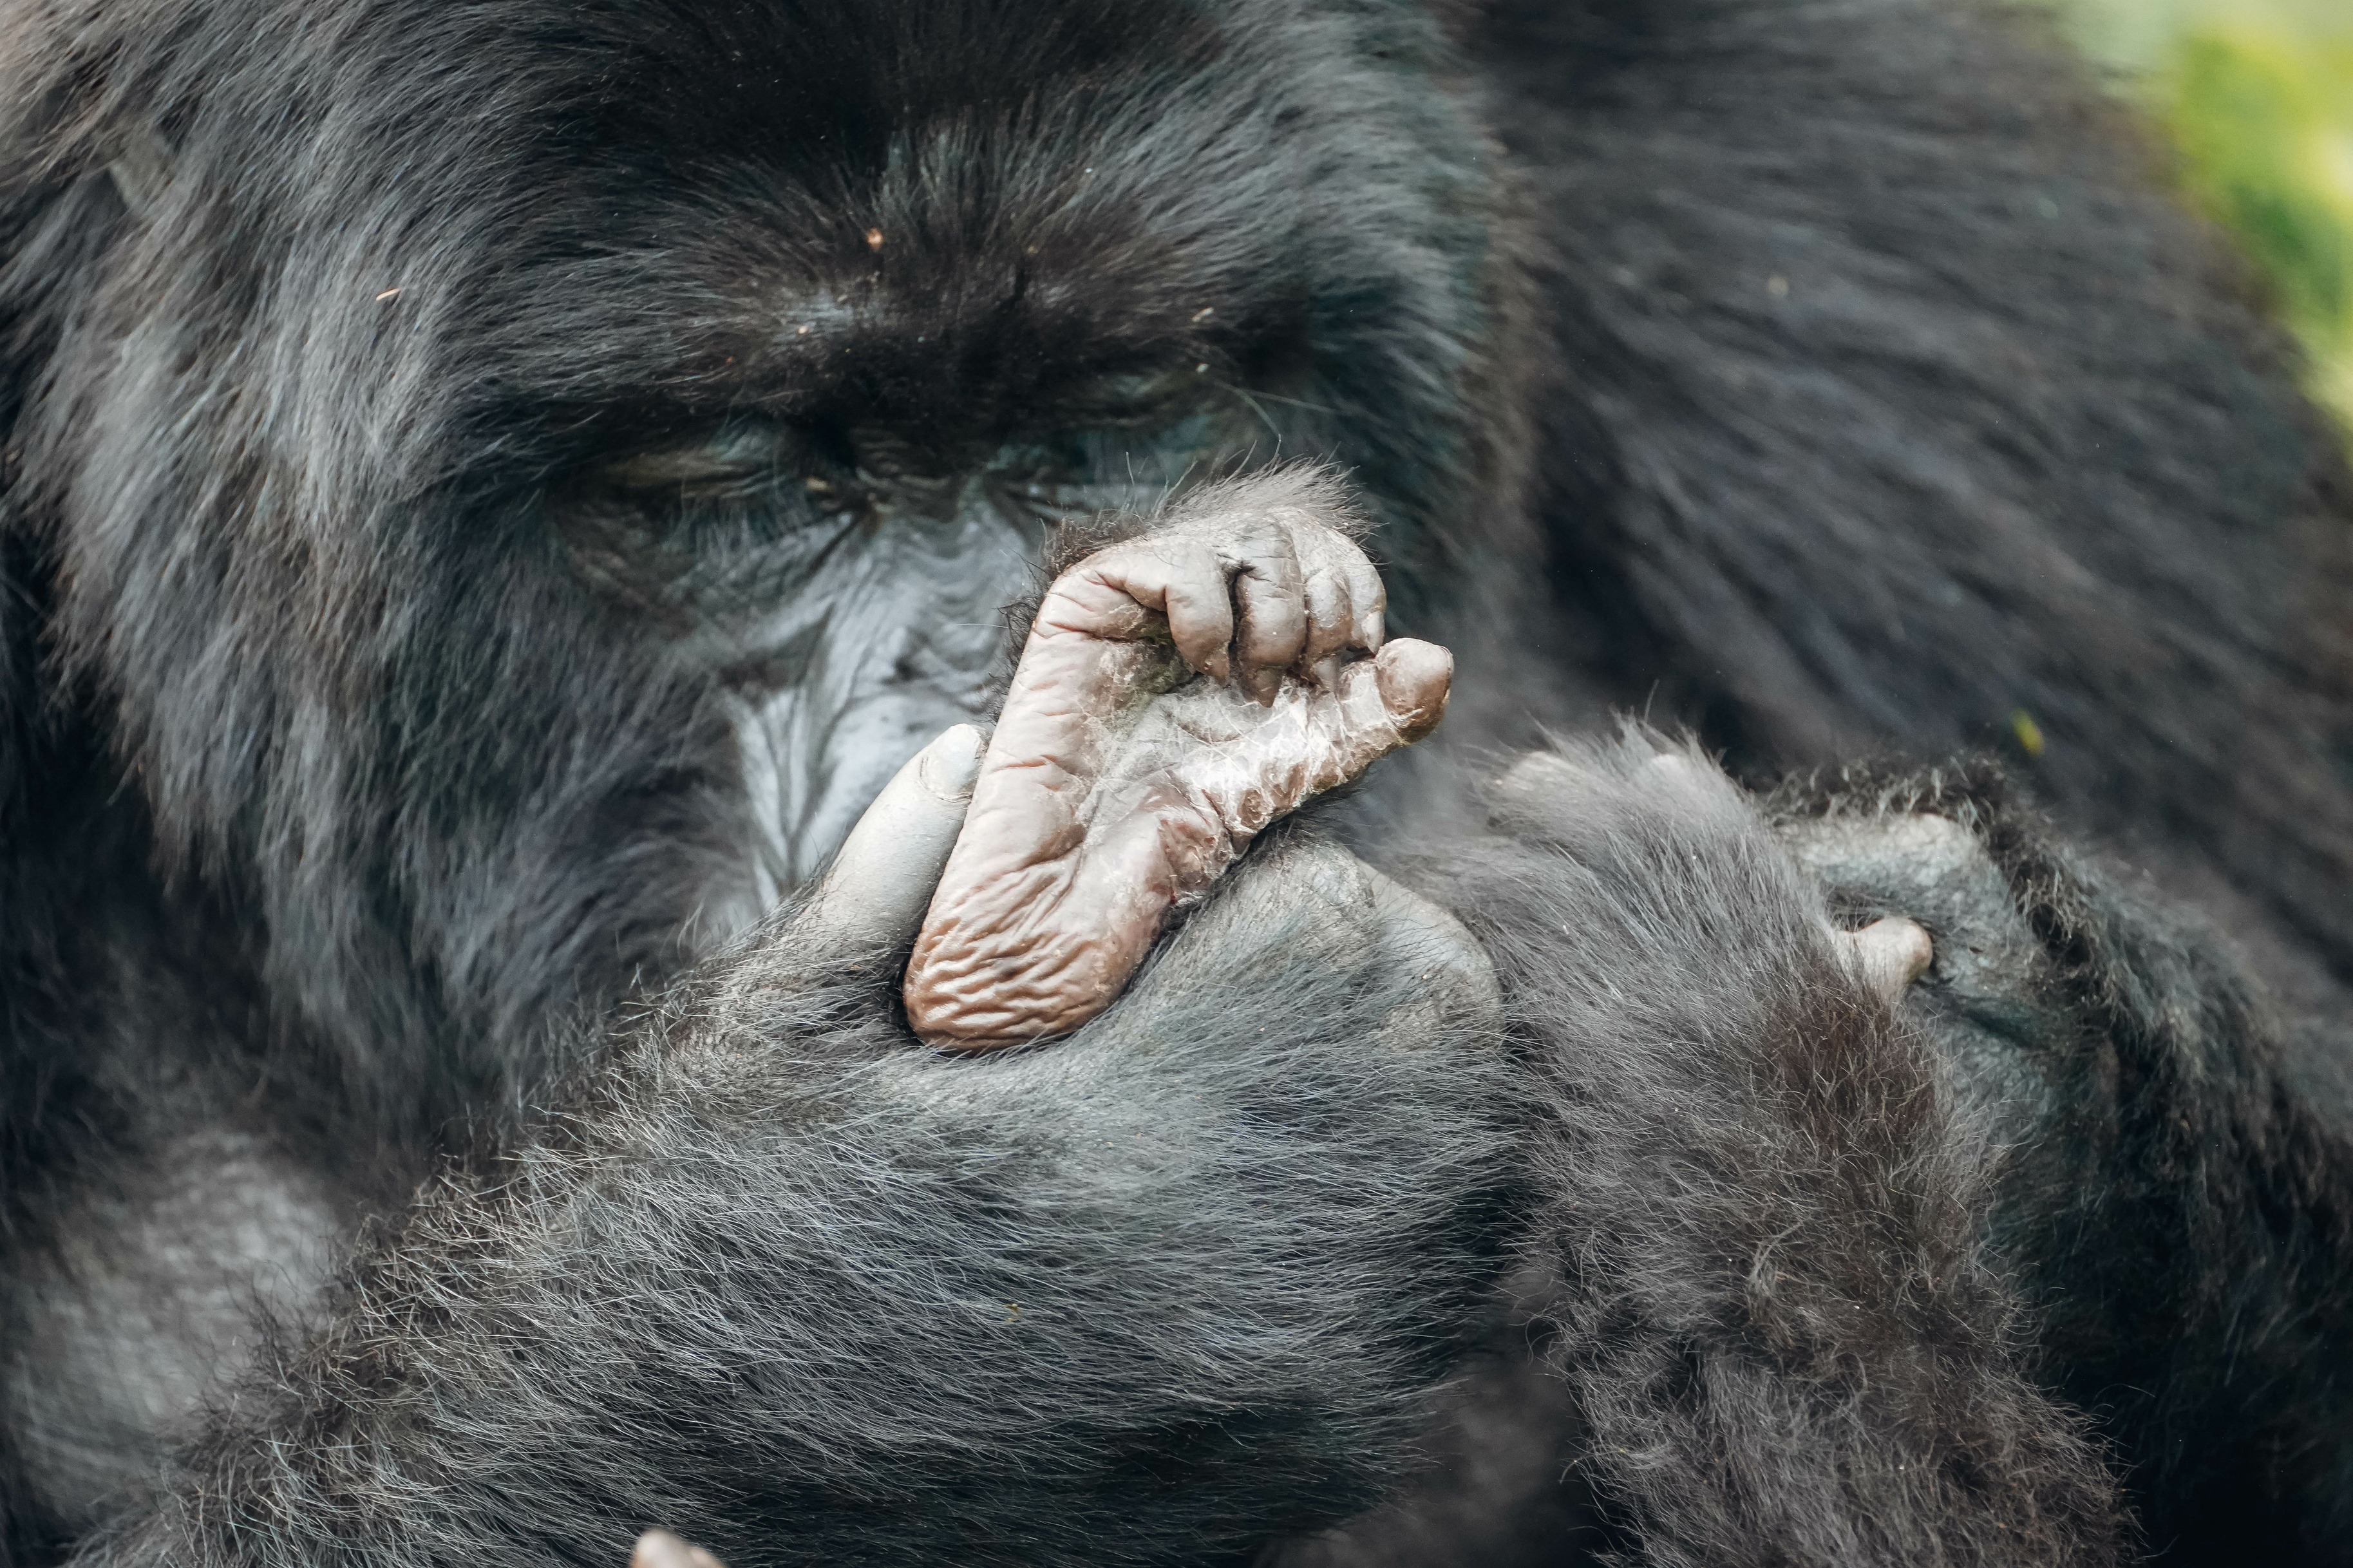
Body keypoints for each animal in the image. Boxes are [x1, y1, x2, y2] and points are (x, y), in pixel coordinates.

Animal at [3, 0, 2352, 1563]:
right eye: (742, 469)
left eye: (1133, 401)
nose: (985, 702)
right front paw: (957, 1251)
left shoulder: (1900, 239)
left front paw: (1985, 1039)